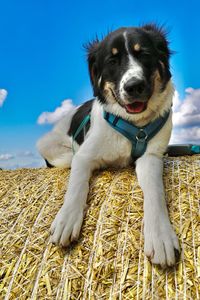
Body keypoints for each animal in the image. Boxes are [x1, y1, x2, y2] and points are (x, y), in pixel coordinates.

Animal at [37, 24, 180, 268]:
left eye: (144, 54)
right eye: (112, 61)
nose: (134, 86)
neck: (133, 124)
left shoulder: (151, 157)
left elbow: (155, 191)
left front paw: (160, 235)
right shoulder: (84, 156)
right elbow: (77, 186)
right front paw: (67, 218)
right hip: (51, 146)